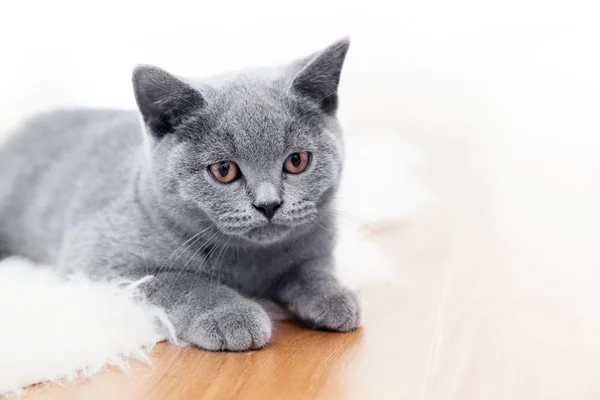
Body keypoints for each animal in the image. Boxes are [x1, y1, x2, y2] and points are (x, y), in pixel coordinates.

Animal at [0, 38, 360, 350]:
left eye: (297, 161)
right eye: (224, 170)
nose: (269, 204)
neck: (250, 261)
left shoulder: (316, 244)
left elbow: (311, 269)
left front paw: (335, 297)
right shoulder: (104, 261)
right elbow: (183, 283)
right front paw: (230, 315)